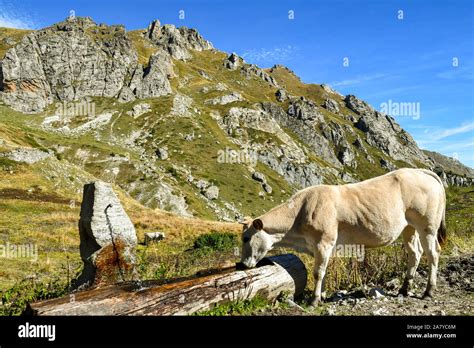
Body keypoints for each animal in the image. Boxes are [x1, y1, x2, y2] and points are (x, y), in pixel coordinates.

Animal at [243, 168, 446, 304]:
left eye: (246, 238)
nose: (242, 265)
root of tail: (420, 171)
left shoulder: (323, 241)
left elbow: (318, 272)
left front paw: (314, 300)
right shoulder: (321, 246)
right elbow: (324, 271)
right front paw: (322, 296)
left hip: (428, 225)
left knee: (433, 253)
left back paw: (428, 291)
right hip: (409, 227)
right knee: (415, 253)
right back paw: (404, 289)